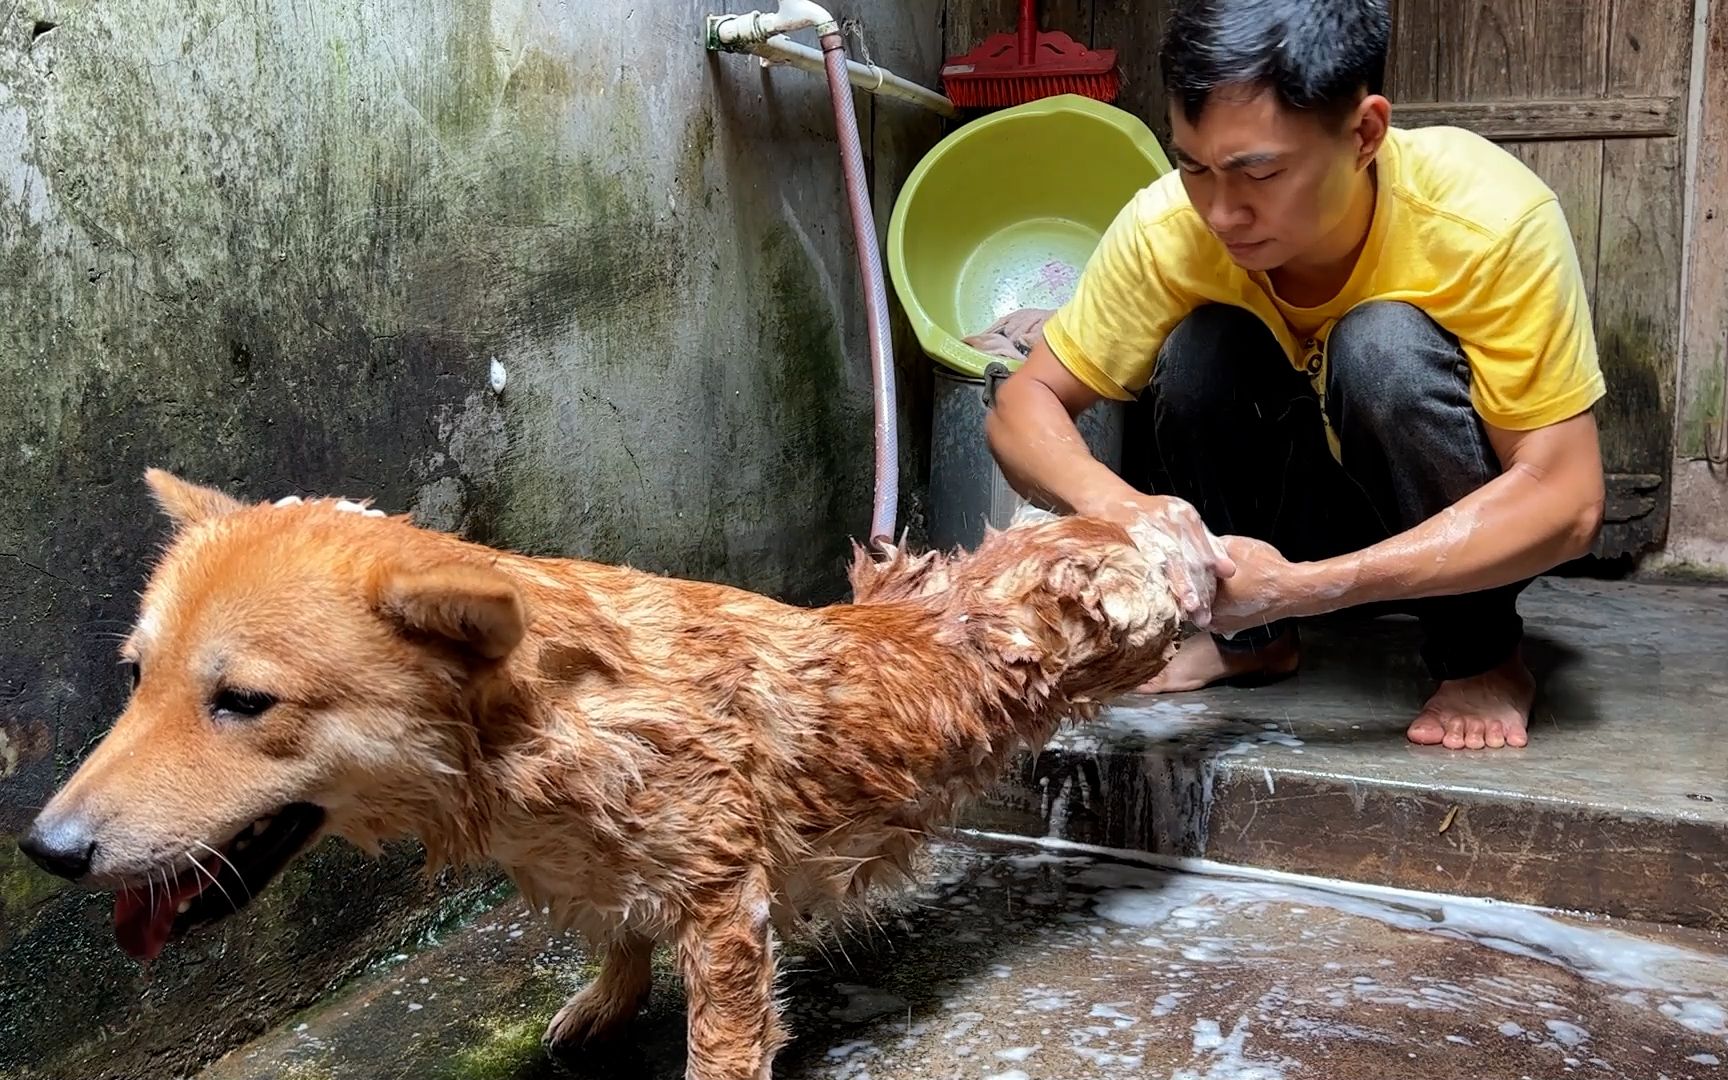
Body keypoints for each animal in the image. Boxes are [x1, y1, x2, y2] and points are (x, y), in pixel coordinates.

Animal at [20, 470, 1188, 1078]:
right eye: (134, 675)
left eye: (244, 702)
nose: (44, 850)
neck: (536, 736)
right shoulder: (595, 873)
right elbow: (617, 934)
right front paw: (606, 1000)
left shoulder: (724, 913)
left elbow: (722, 1044)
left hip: (1136, 618)